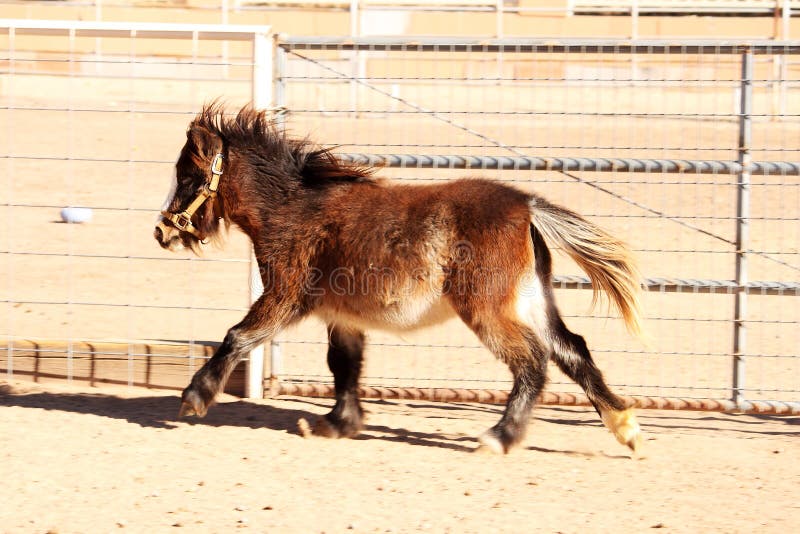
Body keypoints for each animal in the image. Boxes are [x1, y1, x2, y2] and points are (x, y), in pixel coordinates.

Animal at [154, 103, 645, 454]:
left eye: (189, 176)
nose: (162, 232)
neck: (294, 209)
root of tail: (526, 206)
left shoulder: (286, 297)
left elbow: (238, 336)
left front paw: (195, 396)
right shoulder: (341, 316)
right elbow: (343, 364)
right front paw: (337, 423)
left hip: (488, 310)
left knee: (533, 361)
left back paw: (499, 437)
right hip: (530, 299)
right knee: (572, 350)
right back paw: (626, 428)